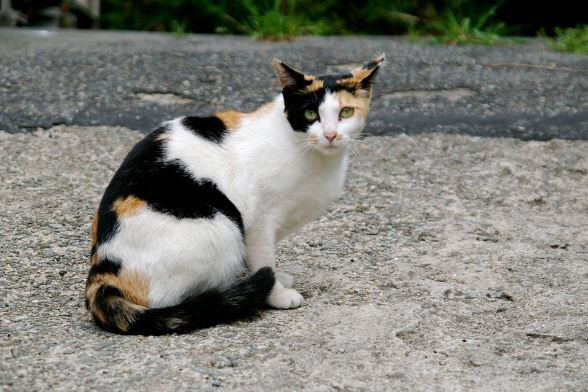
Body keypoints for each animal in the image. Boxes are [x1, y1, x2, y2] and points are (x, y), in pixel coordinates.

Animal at [85, 52, 384, 334]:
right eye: (311, 115)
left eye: (346, 112)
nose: (331, 135)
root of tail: (103, 269)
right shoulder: (258, 221)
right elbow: (264, 258)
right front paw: (276, 294)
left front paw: (278, 277)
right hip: (222, 228)